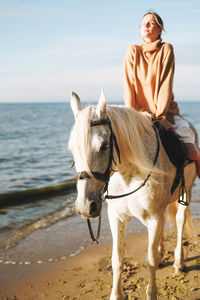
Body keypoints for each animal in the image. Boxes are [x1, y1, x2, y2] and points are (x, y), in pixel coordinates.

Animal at [68, 90, 196, 298]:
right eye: (72, 148)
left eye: (104, 146)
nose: (85, 207)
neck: (129, 174)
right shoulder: (117, 217)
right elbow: (117, 259)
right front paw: (116, 295)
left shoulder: (154, 218)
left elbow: (150, 259)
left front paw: (151, 293)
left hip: (187, 192)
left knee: (180, 221)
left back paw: (178, 262)